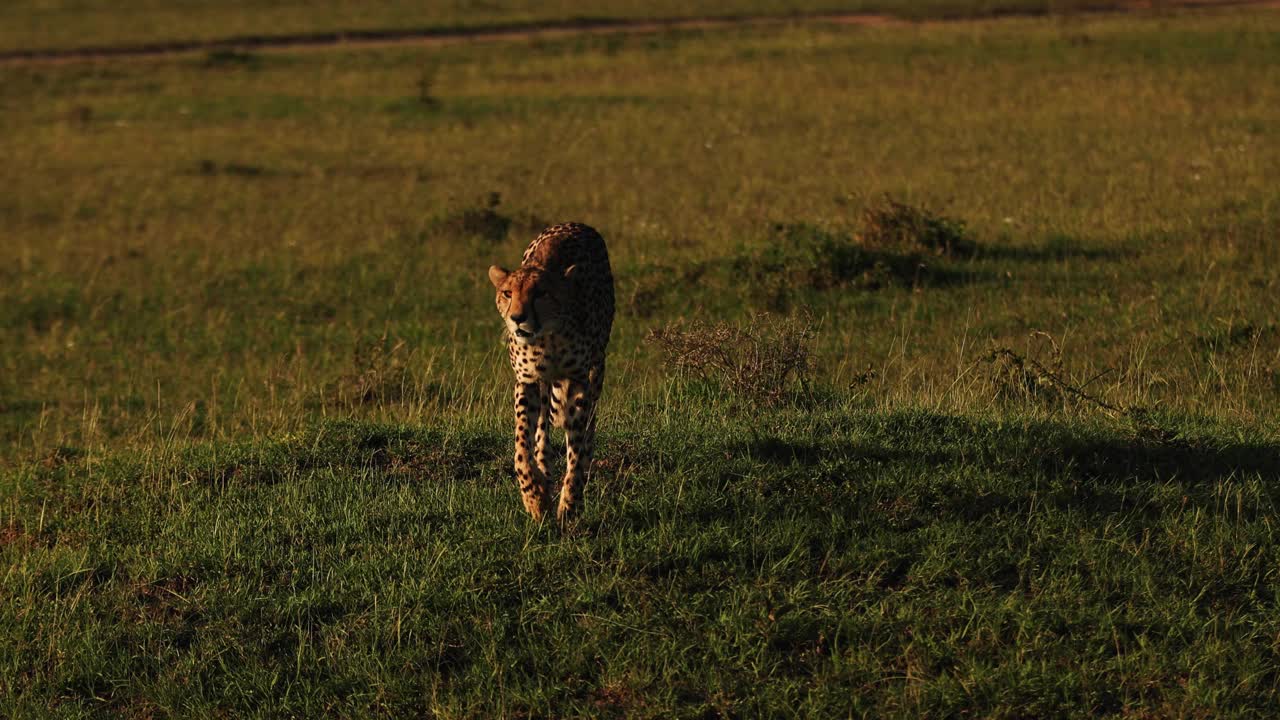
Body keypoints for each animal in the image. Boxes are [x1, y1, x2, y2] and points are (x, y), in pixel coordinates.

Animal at [483, 220, 614, 520]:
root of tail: (576, 222)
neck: (547, 337)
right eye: (508, 293)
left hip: (596, 370)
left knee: (588, 427)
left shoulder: (578, 380)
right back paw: (544, 473)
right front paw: (535, 497)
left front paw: (570, 504)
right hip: (545, 388)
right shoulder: (528, 381)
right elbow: (522, 447)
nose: (517, 318)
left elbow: (576, 449)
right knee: (543, 433)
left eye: (541, 293)